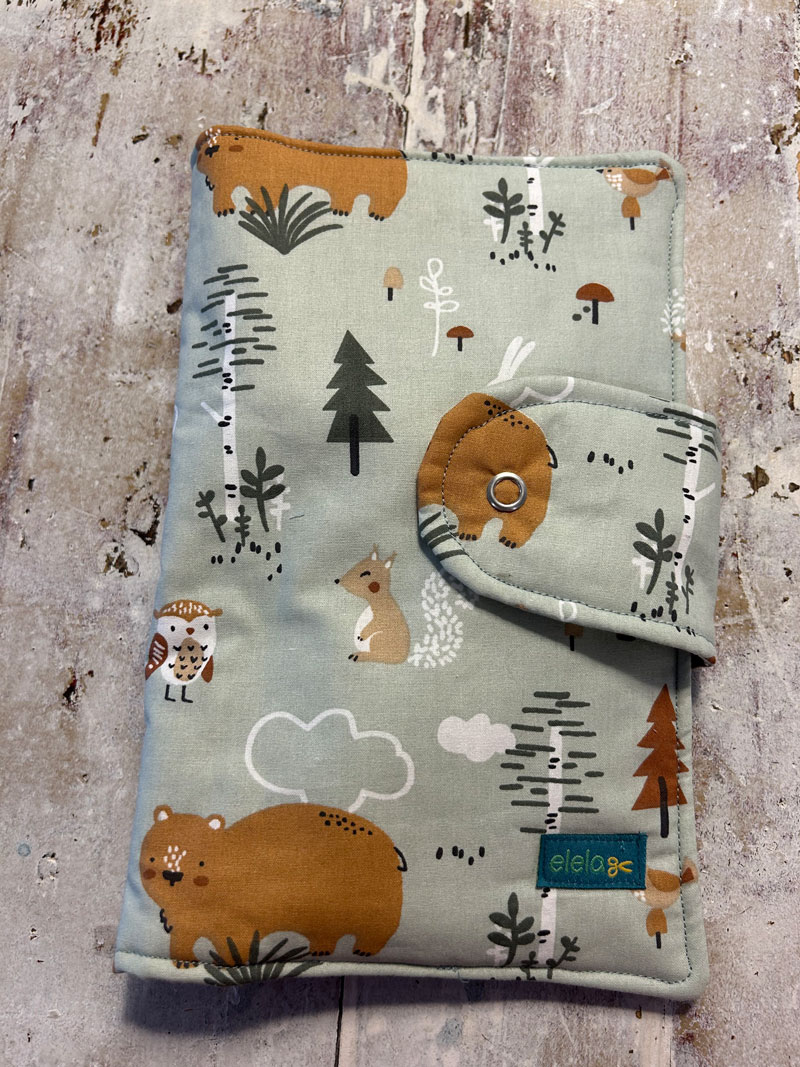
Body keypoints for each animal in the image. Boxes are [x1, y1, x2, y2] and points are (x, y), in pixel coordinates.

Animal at [139, 803, 406, 967]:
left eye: (201, 863)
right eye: (153, 858)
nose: (172, 875)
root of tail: (390, 846)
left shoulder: (234, 926)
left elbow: (234, 946)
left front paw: (231, 962)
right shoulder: (186, 922)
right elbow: (182, 940)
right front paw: (184, 960)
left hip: (380, 906)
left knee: (380, 929)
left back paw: (365, 949)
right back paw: (321, 950)